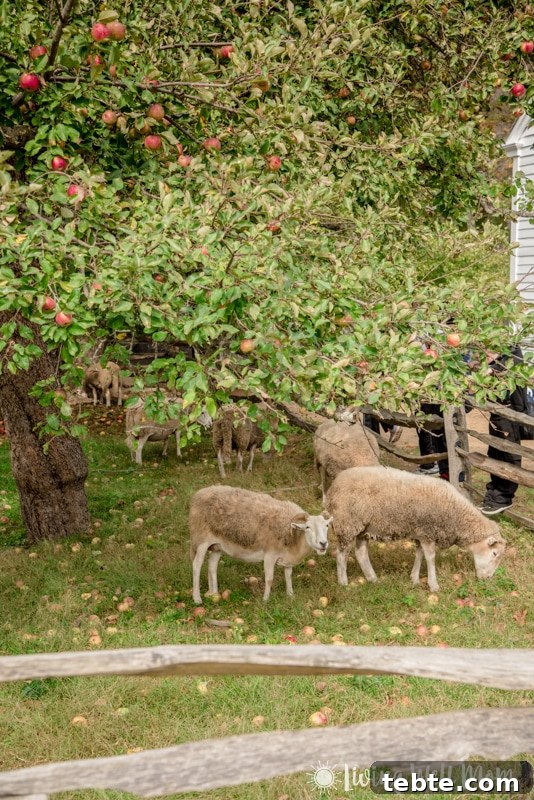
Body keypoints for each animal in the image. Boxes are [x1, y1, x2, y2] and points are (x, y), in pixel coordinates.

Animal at [189, 485, 332, 603]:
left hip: (217, 546)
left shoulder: (287, 558)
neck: (296, 538)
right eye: (308, 527)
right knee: (196, 565)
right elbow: (269, 579)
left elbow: (288, 576)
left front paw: (290, 595)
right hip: (201, 540)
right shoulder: (270, 555)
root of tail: (198, 494)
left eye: (326, 526)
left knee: (212, 566)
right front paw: (265, 600)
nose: (323, 543)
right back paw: (197, 598)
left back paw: (214, 593)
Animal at [325, 466, 506, 593]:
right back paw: (343, 582)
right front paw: (434, 585)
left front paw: (414, 579)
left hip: (363, 527)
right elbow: (430, 558)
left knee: (361, 553)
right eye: (494, 553)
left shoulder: (421, 533)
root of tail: (333, 487)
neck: (455, 514)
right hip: (347, 524)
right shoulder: (427, 531)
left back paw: (372, 579)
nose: (488, 578)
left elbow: (419, 555)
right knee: (341, 555)